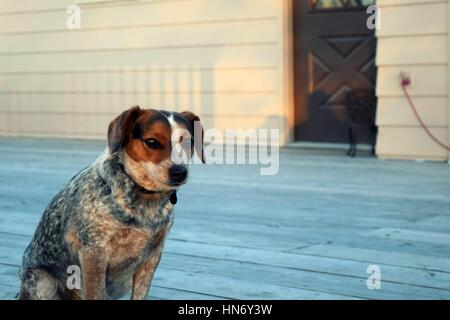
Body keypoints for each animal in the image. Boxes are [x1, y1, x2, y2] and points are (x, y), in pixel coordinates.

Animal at [18, 107, 205, 300]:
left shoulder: (153, 254)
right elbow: (95, 293)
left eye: (189, 142)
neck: (144, 198)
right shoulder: (94, 252)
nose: (179, 172)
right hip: (42, 280)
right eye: (152, 142)